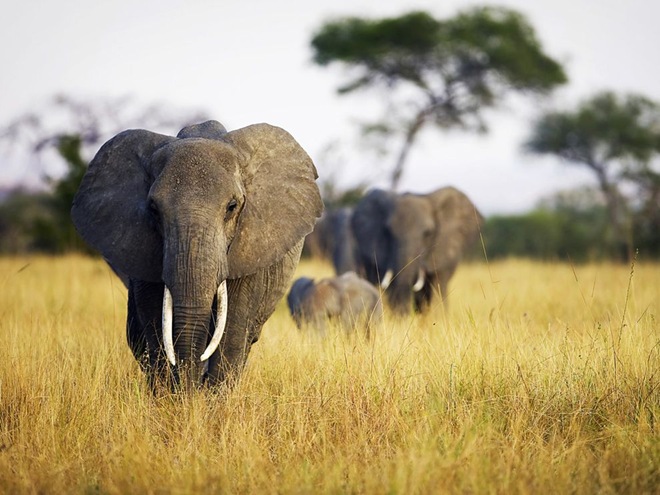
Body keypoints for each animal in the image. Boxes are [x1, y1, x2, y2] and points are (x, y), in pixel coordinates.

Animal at [71, 120, 324, 392]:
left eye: (232, 207)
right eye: (154, 210)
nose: (191, 391)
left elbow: (233, 328)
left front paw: (210, 400)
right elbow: (155, 322)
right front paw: (171, 398)